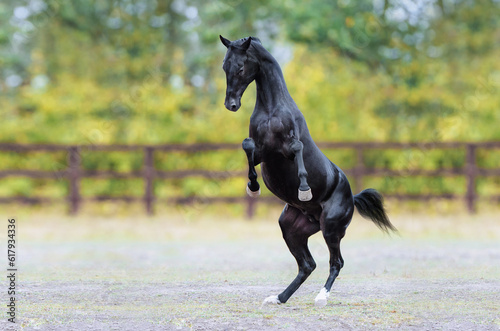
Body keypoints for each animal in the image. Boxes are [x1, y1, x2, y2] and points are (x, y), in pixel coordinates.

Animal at [219, 35, 394, 308]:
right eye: (224, 67)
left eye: (240, 67)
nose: (231, 104)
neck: (272, 111)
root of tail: (352, 198)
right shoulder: (263, 153)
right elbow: (247, 146)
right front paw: (253, 187)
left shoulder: (288, 147)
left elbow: (298, 148)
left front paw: (303, 189)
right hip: (291, 228)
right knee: (307, 265)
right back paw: (278, 298)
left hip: (331, 228)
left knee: (336, 262)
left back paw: (321, 297)